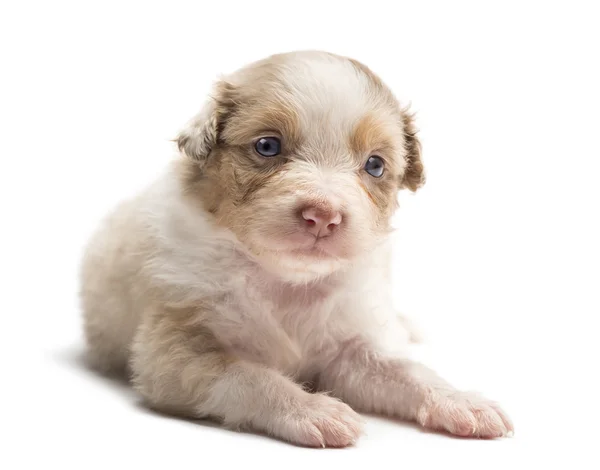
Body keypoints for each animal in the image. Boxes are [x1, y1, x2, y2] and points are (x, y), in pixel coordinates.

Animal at [78, 51, 510, 448]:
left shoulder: (349, 347)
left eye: (374, 165)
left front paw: (459, 399)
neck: (284, 279)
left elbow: (405, 370)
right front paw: (313, 409)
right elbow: (251, 376)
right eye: (268, 146)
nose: (323, 216)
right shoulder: (172, 352)